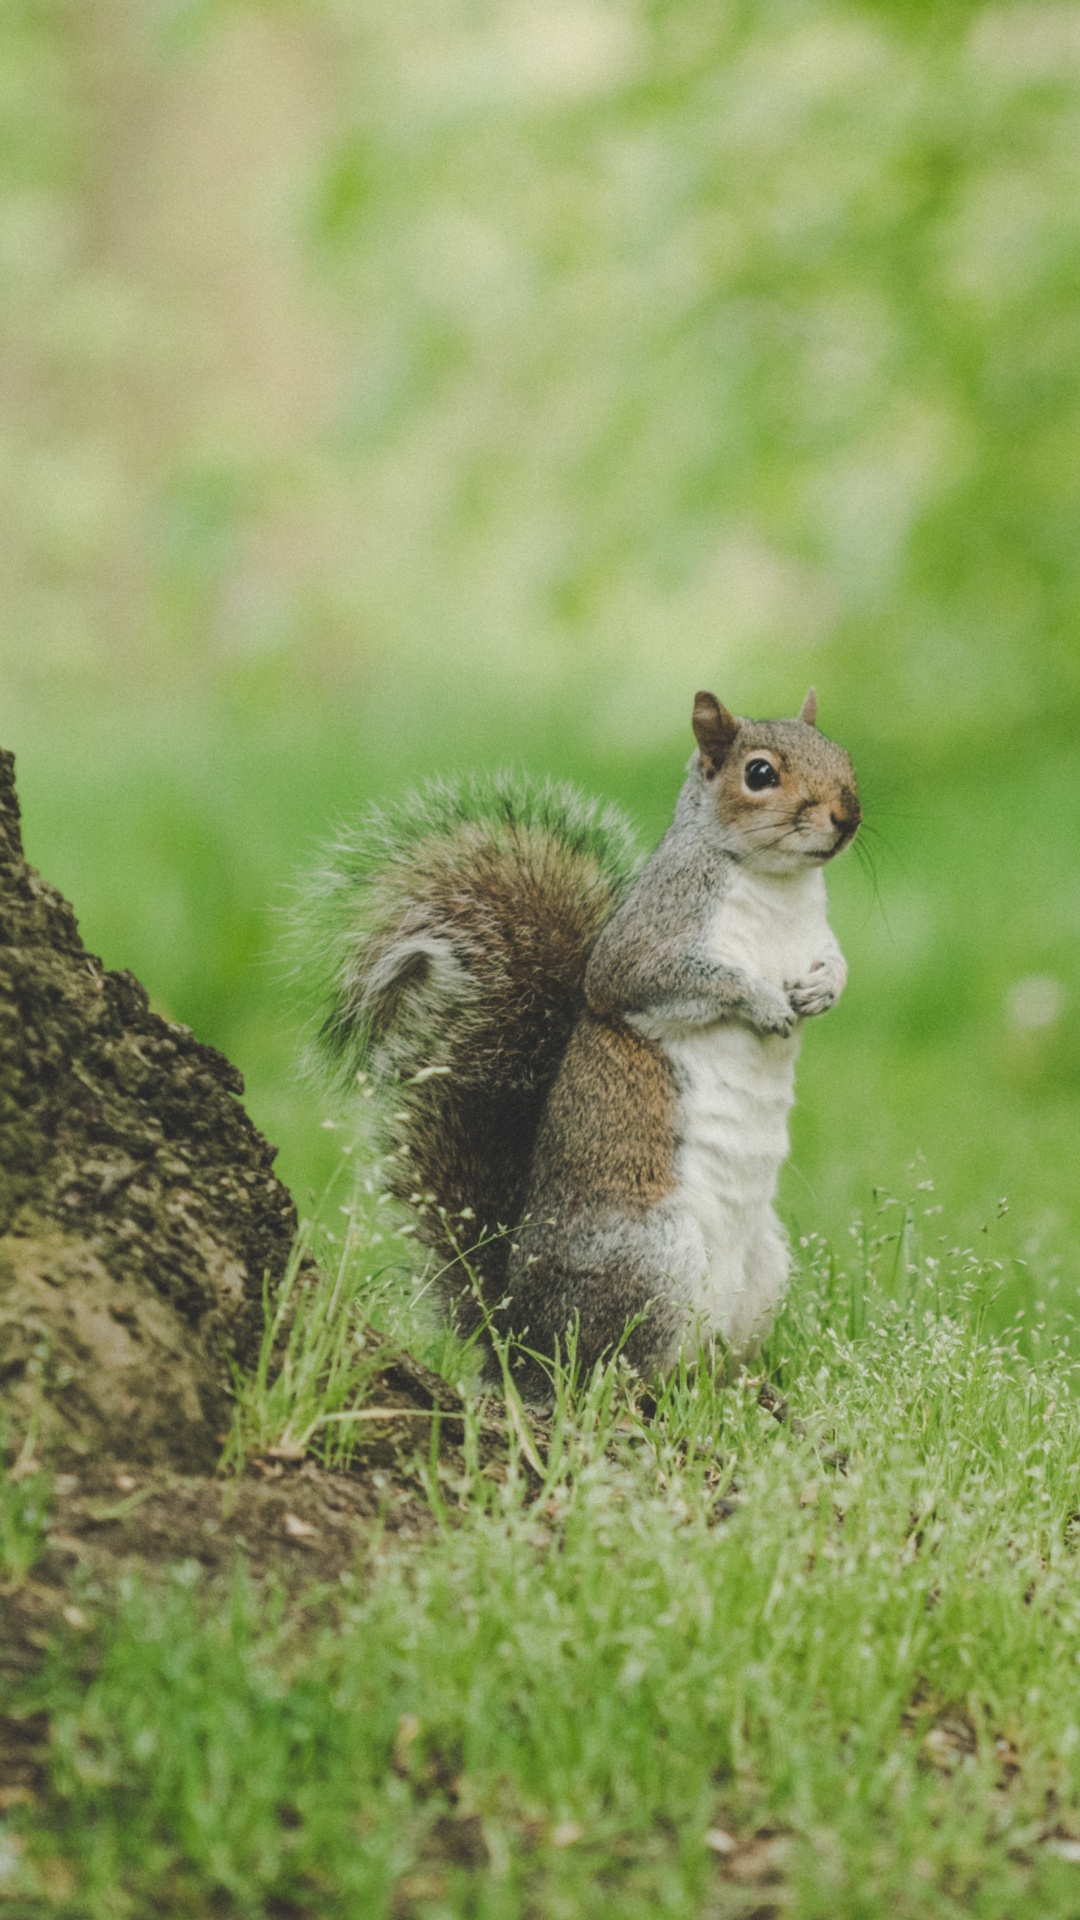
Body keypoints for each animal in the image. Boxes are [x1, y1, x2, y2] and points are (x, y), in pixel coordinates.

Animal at [299, 688, 860, 1396]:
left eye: (844, 755)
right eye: (759, 773)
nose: (848, 816)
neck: (778, 885)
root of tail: (516, 1340)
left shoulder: (816, 936)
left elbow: (836, 963)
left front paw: (824, 992)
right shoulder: (647, 945)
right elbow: (677, 979)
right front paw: (762, 1001)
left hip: (763, 1273)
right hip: (651, 1260)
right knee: (607, 1372)